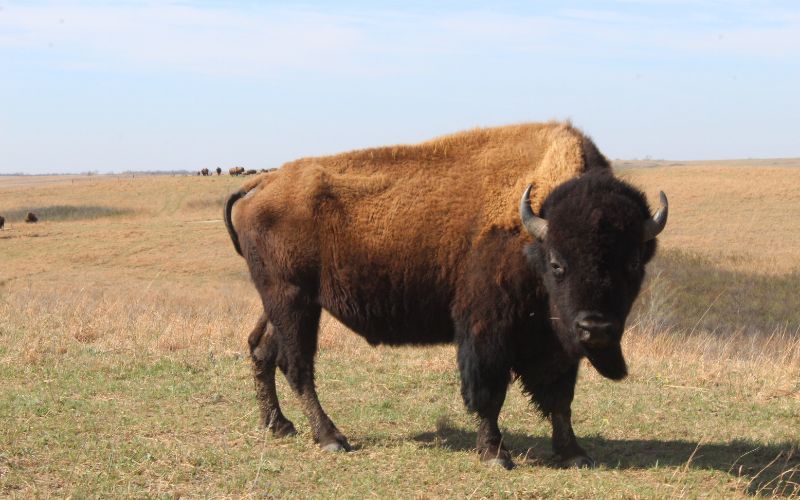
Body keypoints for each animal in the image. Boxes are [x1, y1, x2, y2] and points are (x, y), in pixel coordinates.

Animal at [223, 122, 668, 469]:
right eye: (558, 263)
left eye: (633, 263)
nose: (596, 327)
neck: (535, 230)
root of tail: (260, 183)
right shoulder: (487, 330)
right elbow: (490, 392)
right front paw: (495, 454)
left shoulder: (553, 338)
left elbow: (560, 395)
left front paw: (574, 452)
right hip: (293, 300)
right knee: (296, 364)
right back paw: (332, 438)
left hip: (284, 302)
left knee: (262, 350)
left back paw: (279, 426)